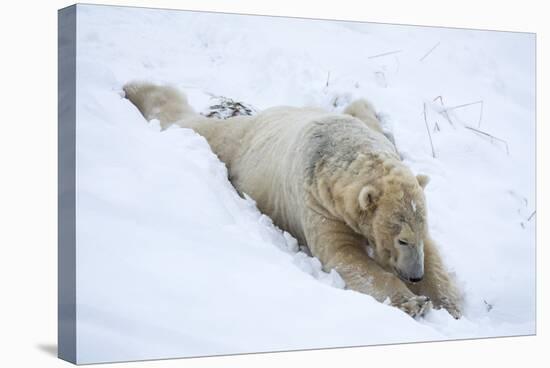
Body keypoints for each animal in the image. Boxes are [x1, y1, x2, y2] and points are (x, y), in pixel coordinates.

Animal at [124, 82, 462, 318]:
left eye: (419, 233)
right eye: (401, 239)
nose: (415, 275)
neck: (340, 150)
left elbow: (434, 255)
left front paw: (449, 303)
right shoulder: (317, 201)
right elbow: (345, 256)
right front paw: (413, 302)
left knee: (362, 109)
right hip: (233, 147)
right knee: (196, 126)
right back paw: (139, 90)